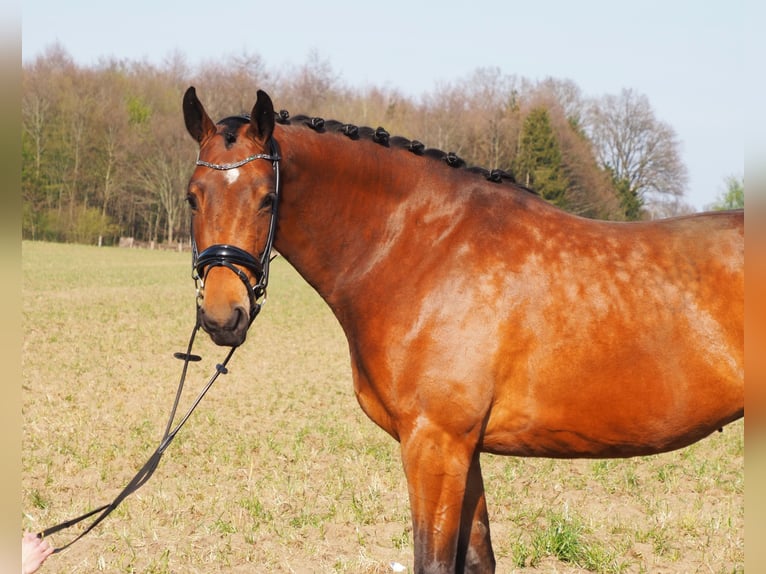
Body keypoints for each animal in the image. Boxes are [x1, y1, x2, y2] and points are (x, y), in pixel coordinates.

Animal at [180, 86, 744, 574]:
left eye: (265, 199)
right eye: (192, 197)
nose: (223, 316)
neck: (426, 249)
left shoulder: (435, 443)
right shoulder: (464, 451)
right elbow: (477, 559)